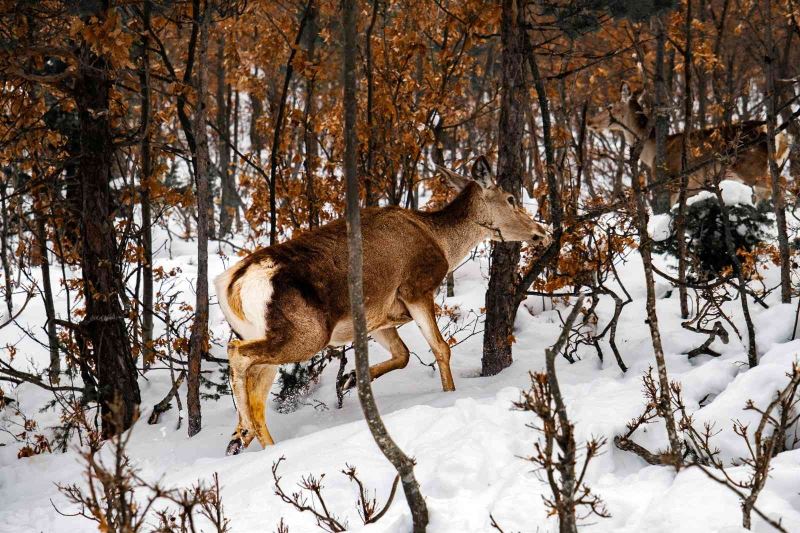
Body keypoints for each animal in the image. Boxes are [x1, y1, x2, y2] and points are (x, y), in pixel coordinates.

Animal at [212, 156, 552, 456]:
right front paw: (449, 395)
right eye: (510, 198)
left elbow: (403, 355)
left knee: (257, 398)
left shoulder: (378, 318)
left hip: (267, 335)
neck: (442, 242)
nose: (543, 232)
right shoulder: (416, 287)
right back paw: (243, 431)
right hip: (307, 333)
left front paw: (351, 378)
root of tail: (233, 284)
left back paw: (246, 439)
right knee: (237, 354)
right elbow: (441, 348)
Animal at [584, 82, 792, 205]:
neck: (651, 152)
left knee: (780, 182)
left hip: (751, 166)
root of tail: (780, 135)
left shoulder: (672, 179)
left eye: (609, 107)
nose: (589, 121)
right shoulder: (693, 187)